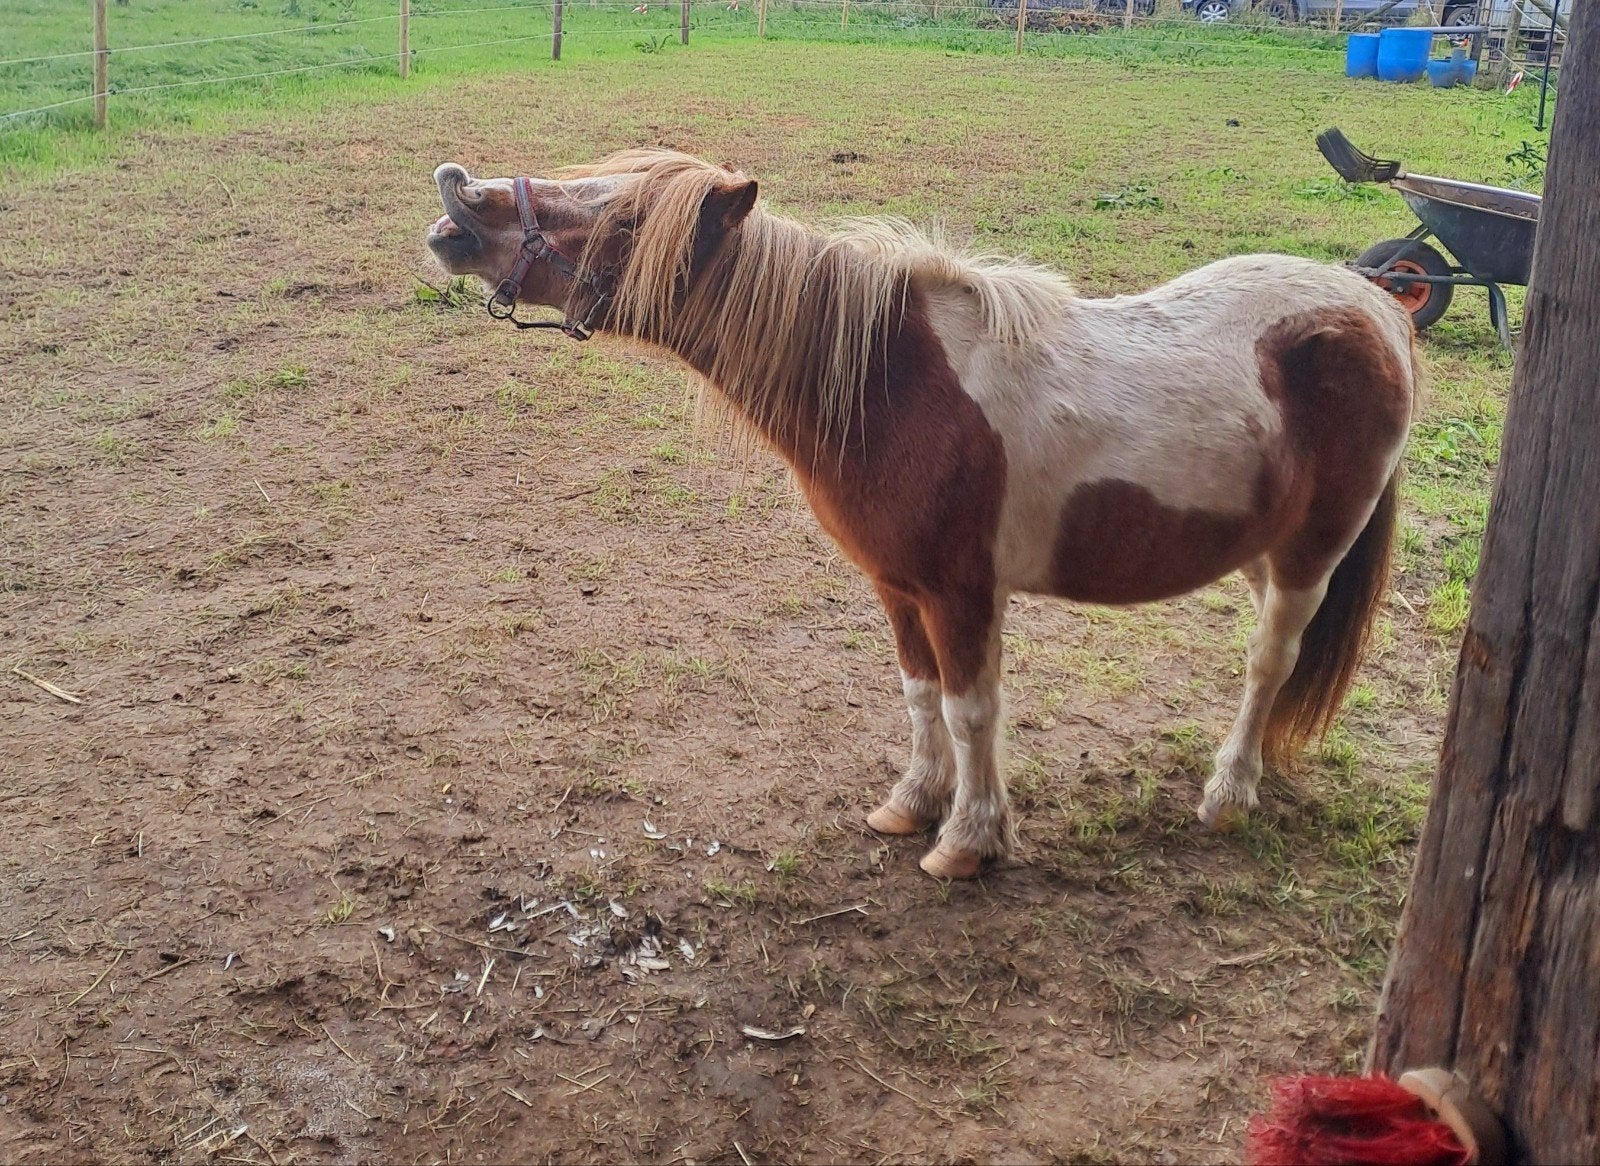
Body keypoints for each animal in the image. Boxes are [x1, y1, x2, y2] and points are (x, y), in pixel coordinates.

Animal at [424, 149, 1417, 880]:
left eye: (626, 219)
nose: (458, 198)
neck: (895, 384)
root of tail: (1377, 308)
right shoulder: (898, 588)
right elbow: (919, 693)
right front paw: (912, 804)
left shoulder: (960, 593)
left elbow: (974, 708)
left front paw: (970, 841)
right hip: (1256, 547)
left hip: (1311, 554)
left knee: (1268, 661)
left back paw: (1228, 793)